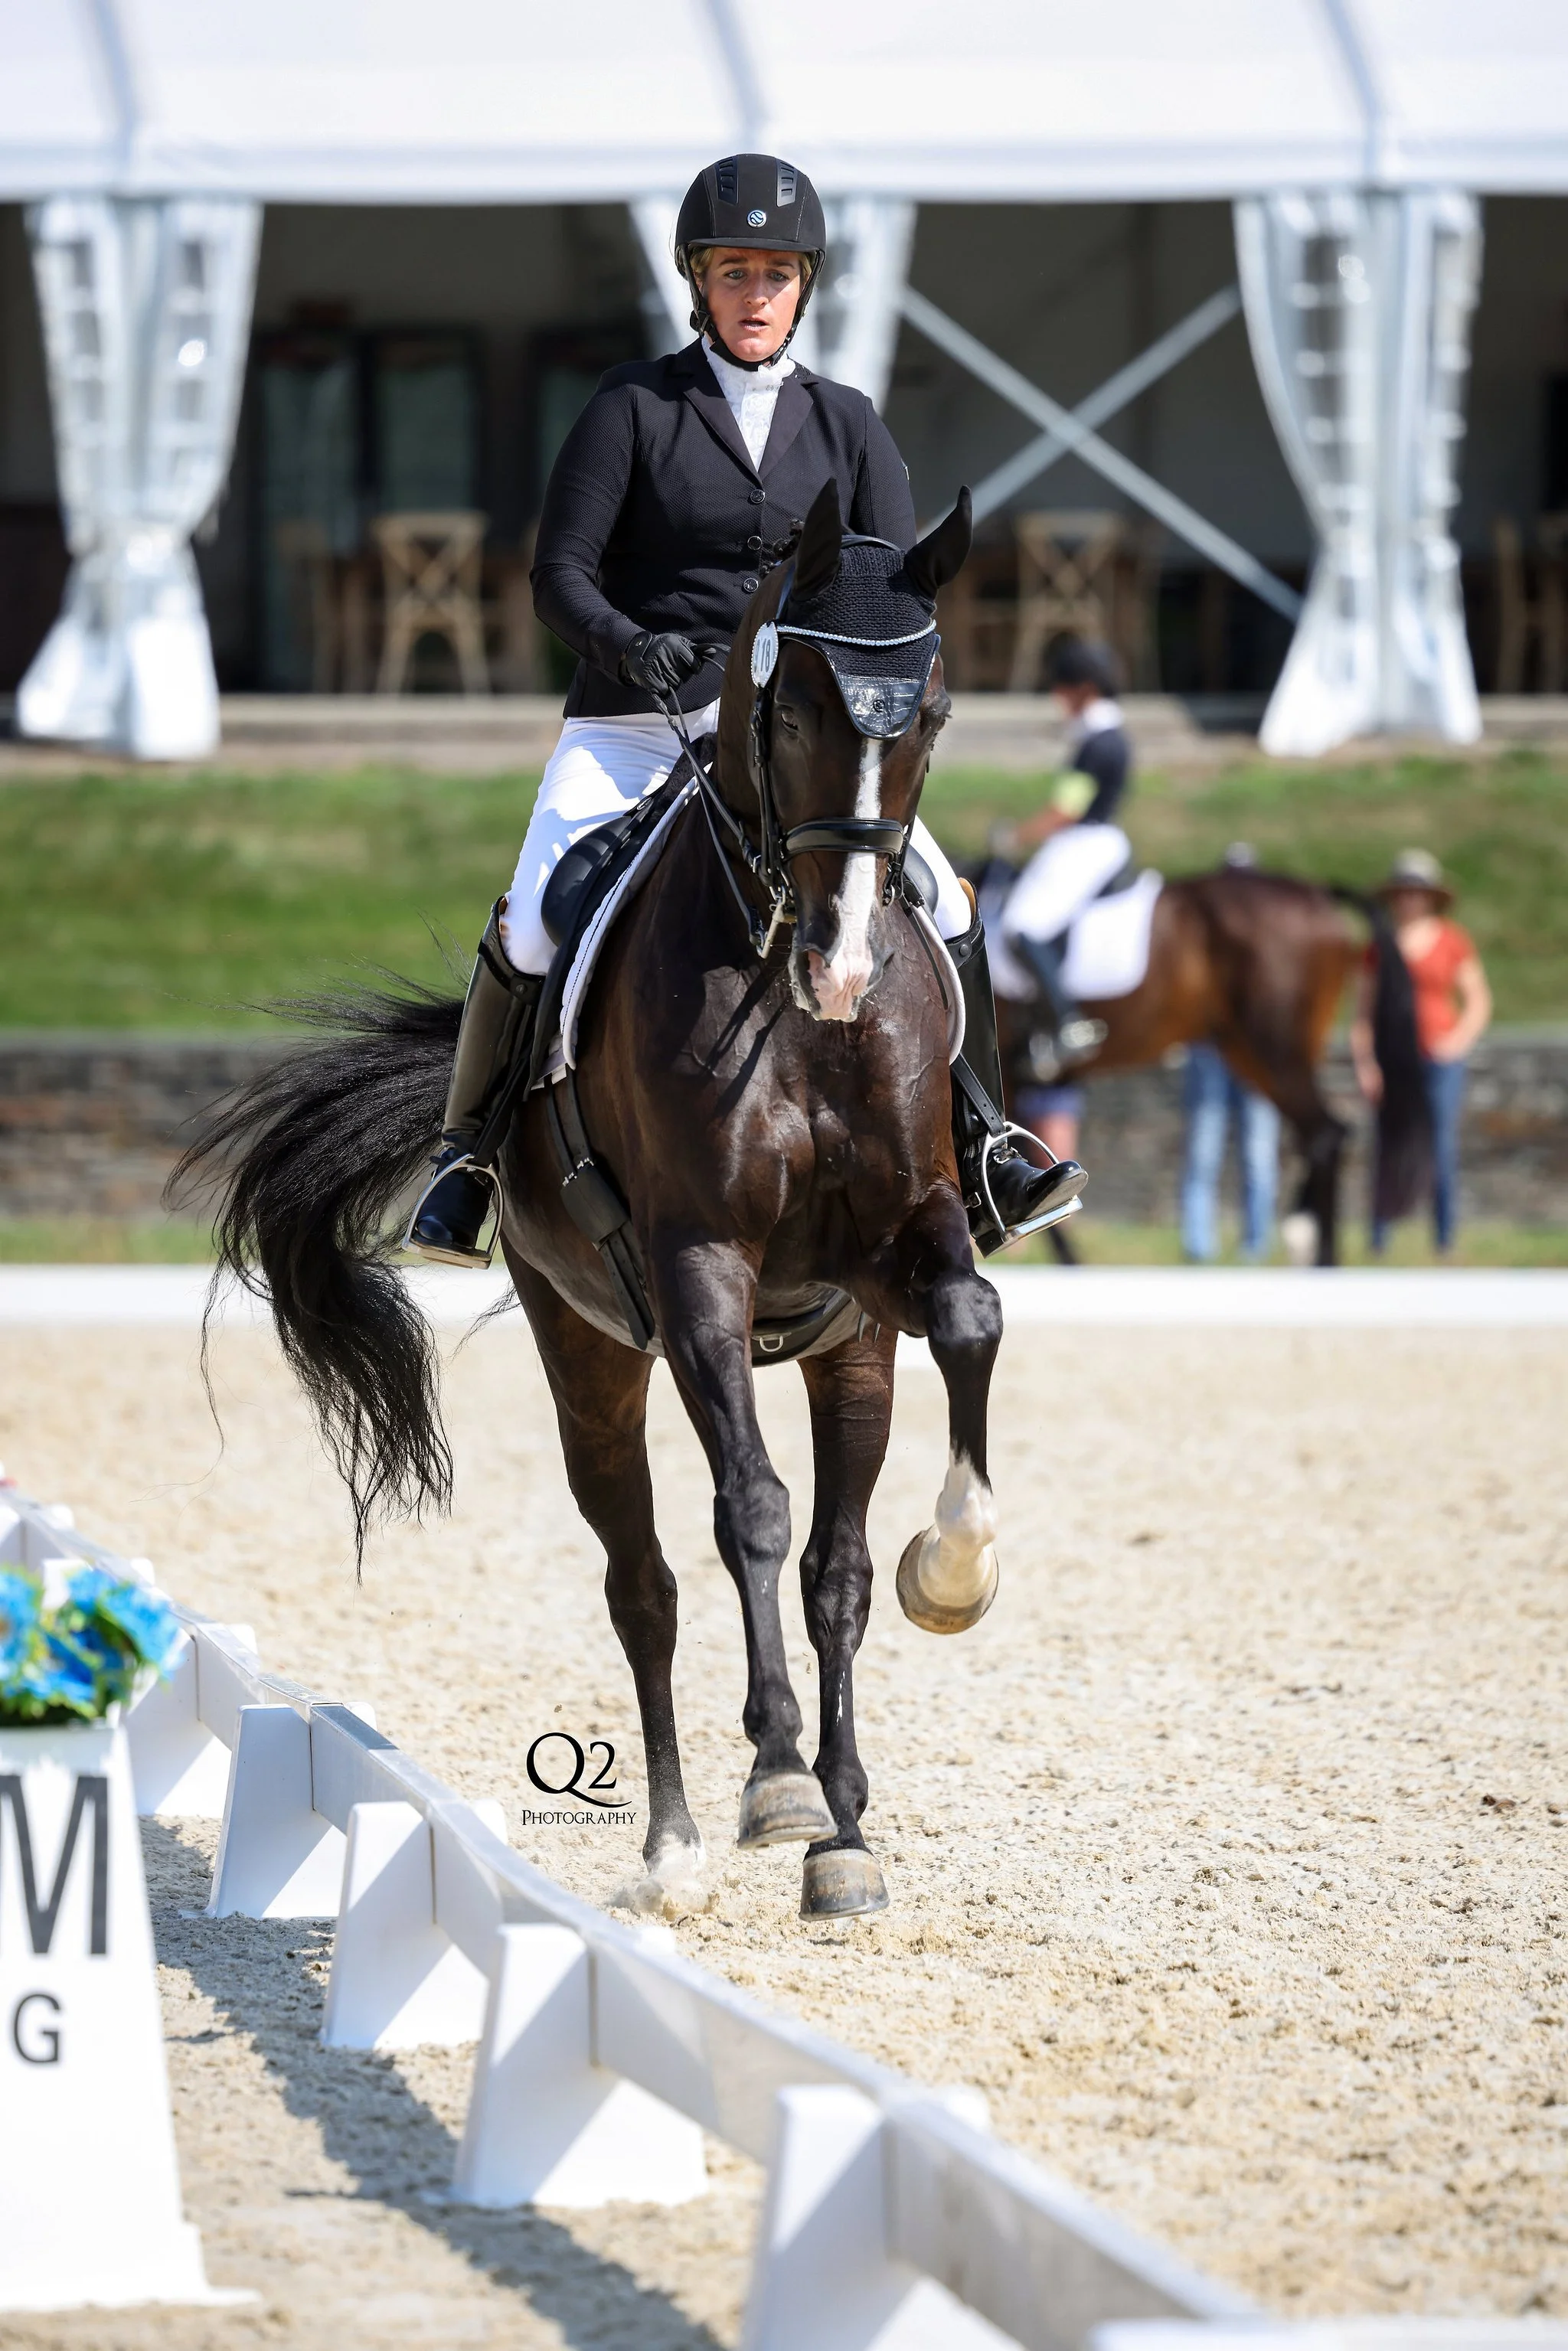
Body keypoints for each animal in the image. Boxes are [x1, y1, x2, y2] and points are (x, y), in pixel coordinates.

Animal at [174, 483, 1007, 1925]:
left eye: (935, 711)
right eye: (794, 710)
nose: (846, 969)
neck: (789, 1000)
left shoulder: (902, 1244)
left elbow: (968, 1322)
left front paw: (953, 1570)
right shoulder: (697, 1269)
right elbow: (747, 1508)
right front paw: (773, 1779)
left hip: (844, 1346)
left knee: (834, 1570)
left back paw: (845, 1838)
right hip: (592, 1354)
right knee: (646, 1582)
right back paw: (681, 1840)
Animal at [982, 862, 1428, 1264]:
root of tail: (1316, 891)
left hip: (1275, 1047)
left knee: (1323, 1133)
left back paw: (1322, 1257)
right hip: (1249, 1052)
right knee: (1320, 1132)